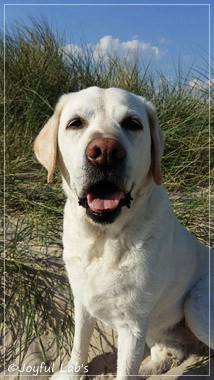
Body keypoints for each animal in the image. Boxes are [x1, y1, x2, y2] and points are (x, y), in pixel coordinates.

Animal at [34, 87, 213, 378]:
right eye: (75, 123)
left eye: (133, 123)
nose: (105, 152)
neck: (103, 240)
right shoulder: (82, 300)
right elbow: (79, 344)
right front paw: (72, 372)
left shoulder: (132, 323)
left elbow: (124, 370)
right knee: (171, 352)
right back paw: (152, 367)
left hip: (196, 304)